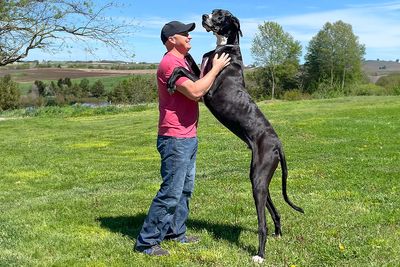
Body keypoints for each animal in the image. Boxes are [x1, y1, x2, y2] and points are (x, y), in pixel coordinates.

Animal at [166, 9, 304, 264]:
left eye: (220, 15)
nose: (204, 15)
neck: (225, 46)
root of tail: (278, 144)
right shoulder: (201, 74)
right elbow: (189, 64)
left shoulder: (207, 90)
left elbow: (182, 70)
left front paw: (171, 81)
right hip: (259, 177)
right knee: (273, 209)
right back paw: (278, 232)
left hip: (258, 179)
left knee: (262, 224)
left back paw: (260, 254)